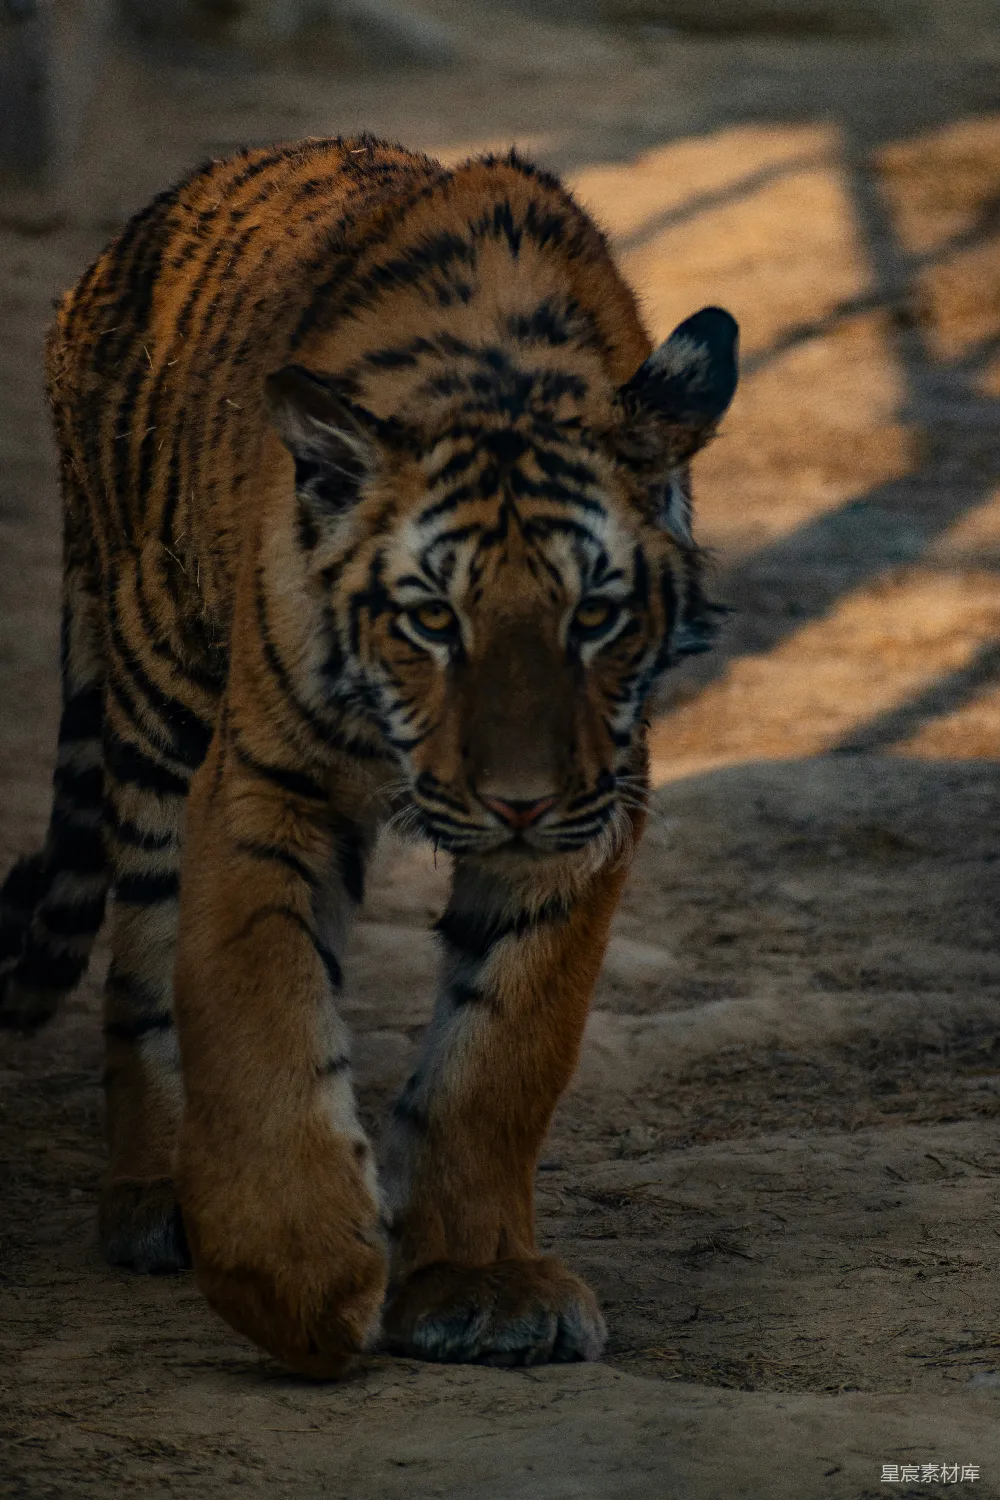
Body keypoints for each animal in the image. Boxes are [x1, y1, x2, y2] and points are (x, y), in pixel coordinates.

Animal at [0, 136, 737, 1377]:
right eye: (432, 619)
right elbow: (254, 1006)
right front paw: (292, 1281)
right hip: (154, 707)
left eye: (594, 616)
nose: (516, 802)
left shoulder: (589, 815)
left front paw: (483, 1287)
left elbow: (502, 1055)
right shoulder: (266, 780)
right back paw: (153, 1198)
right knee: (140, 968)